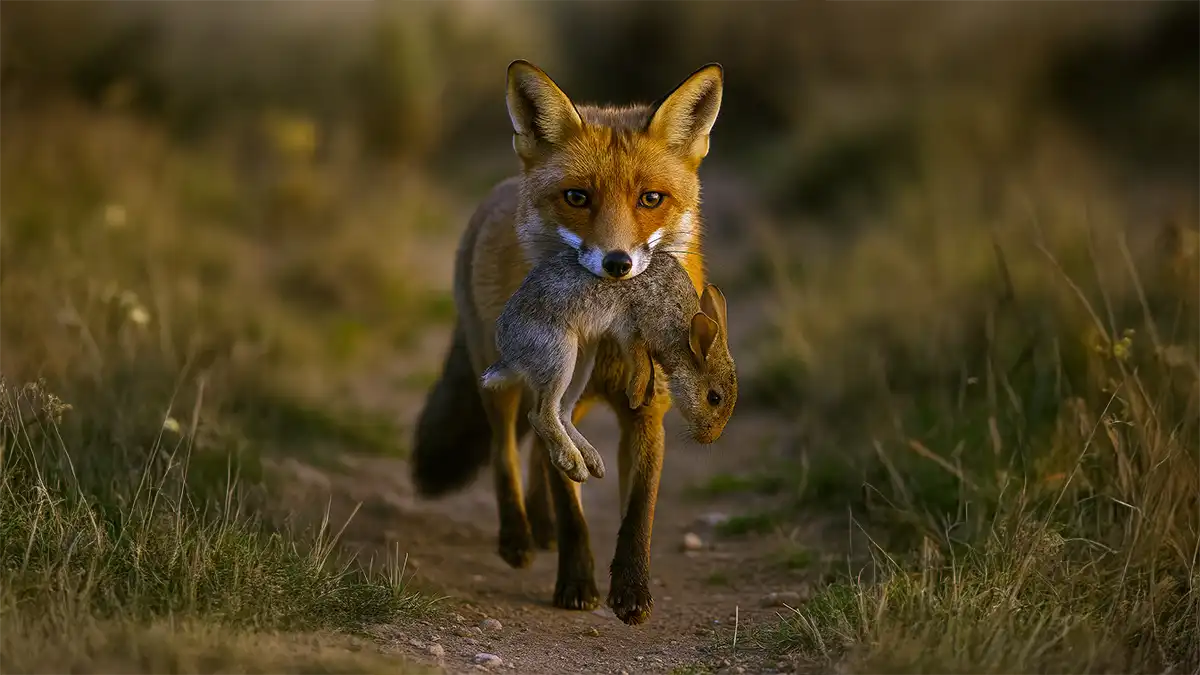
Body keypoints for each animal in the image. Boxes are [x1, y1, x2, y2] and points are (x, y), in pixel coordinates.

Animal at [479, 247, 737, 484]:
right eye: (714, 398)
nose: (709, 438)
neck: (682, 331)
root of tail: (510, 356)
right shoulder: (630, 324)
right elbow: (640, 356)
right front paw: (636, 396)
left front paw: (645, 394)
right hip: (559, 355)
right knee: (541, 414)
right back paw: (574, 464)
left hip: (582, 363)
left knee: (562, 412)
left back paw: (591, 460)